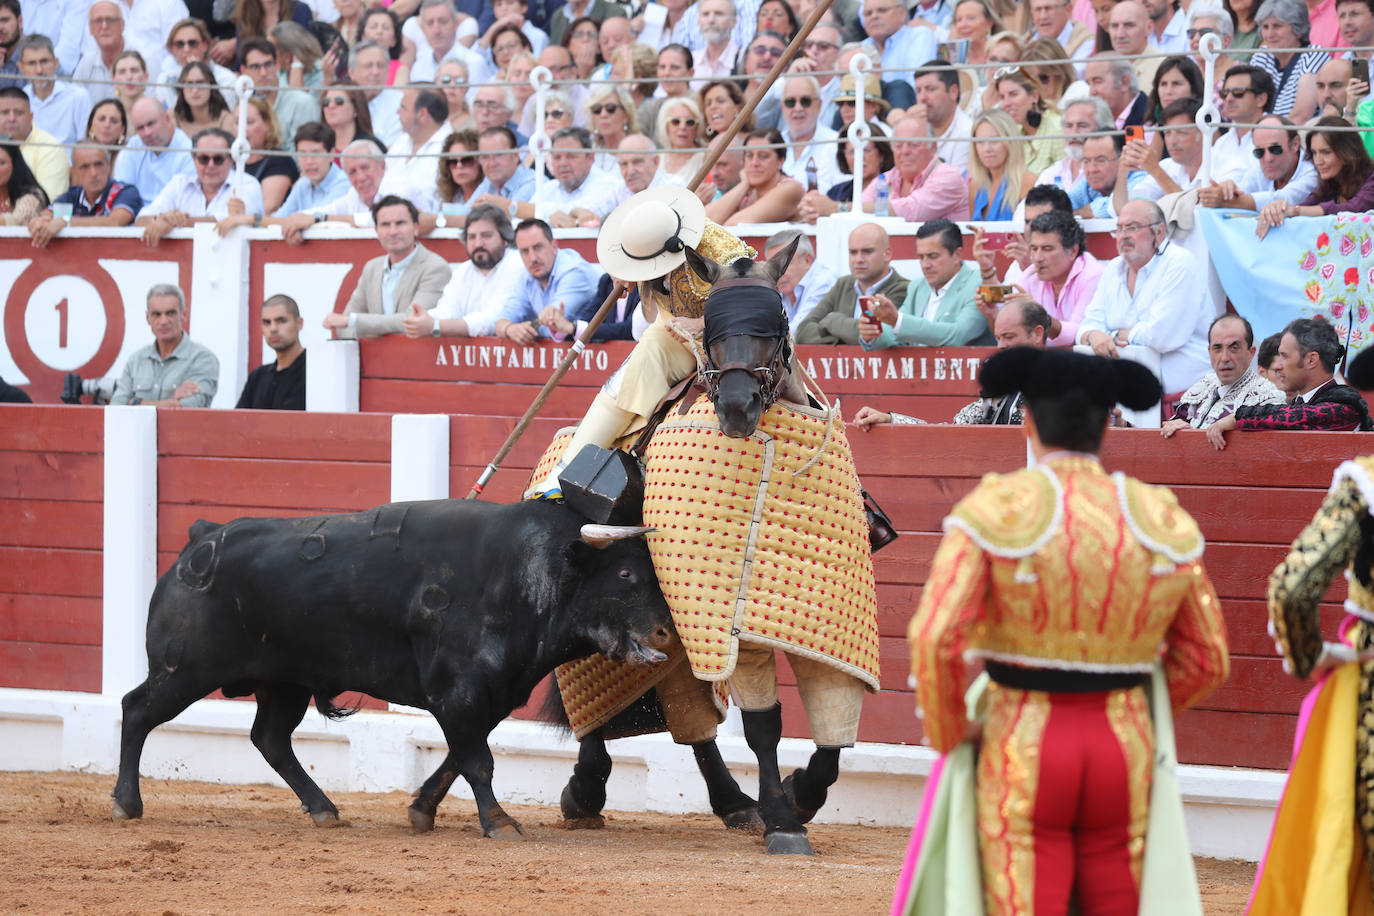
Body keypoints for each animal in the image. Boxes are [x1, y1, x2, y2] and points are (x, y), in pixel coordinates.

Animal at [114, 497, 676, 840]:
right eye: (625, 575)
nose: (667, 634)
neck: (523, 573)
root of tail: (201, 538)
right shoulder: (460, 693)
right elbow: (477, 761)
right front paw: (498, 822)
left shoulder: (487, 696)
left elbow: (457, 757)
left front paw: (422, 811)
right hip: (183, 669)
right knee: (136, 710)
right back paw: (126, 803)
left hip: (285, 681)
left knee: (270, 739)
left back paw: (324, 810)